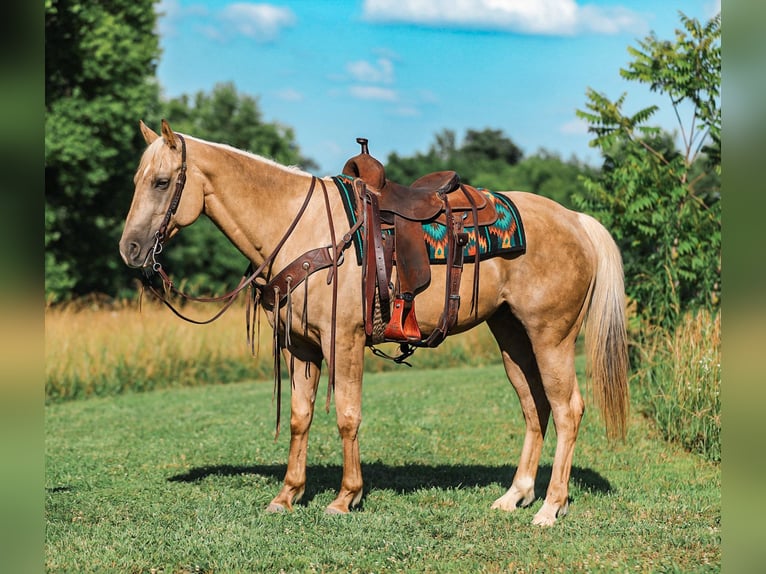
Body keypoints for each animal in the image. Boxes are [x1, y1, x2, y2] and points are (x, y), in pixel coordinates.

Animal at [119, 119, 628, 526]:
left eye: (162, 182)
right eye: (137, 180)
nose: (130, 249)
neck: (301, 228)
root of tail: (576, 220)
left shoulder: (342, 341)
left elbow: (347, 415)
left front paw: (346, 497)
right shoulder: (302, 346)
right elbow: (301, 417)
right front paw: (287, 495)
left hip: (551, 337)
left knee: (568, 409)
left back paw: (551, 507)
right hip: (512, 336)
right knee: (534, 407)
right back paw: (515, 496)